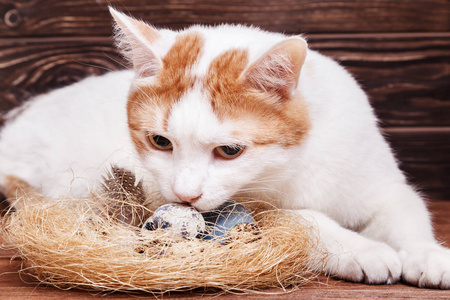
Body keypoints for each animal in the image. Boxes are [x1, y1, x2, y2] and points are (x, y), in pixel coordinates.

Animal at [0, 7, 450, 288]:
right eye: (160, 142)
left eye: (230, 151)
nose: (185, 195)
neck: (299, 158)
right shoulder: (256, 216)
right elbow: (304, 218)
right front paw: (362, 249)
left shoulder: (377, 177)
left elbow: (406, 210)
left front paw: (428, 254)